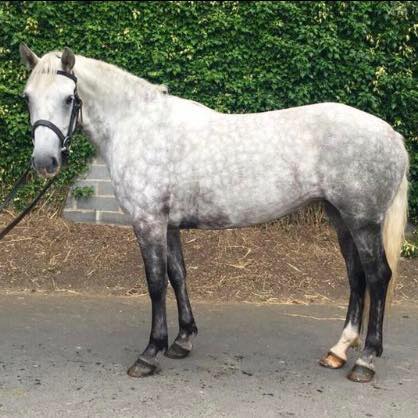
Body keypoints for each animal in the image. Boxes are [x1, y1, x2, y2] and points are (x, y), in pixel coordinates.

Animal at [19, 45, 408, 382]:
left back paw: (366, 360)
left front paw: (150, 353)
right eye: (27, 97)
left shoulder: (148, 222)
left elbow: (156, 283)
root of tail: (393, 136)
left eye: (69, 99)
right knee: (356, 277)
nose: (44, 162)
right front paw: (182, 340)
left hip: (363, 222)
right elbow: (178, 275)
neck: (139, 127)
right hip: (341, 219)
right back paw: (339, 350)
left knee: (378, 277)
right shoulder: (168, 225)